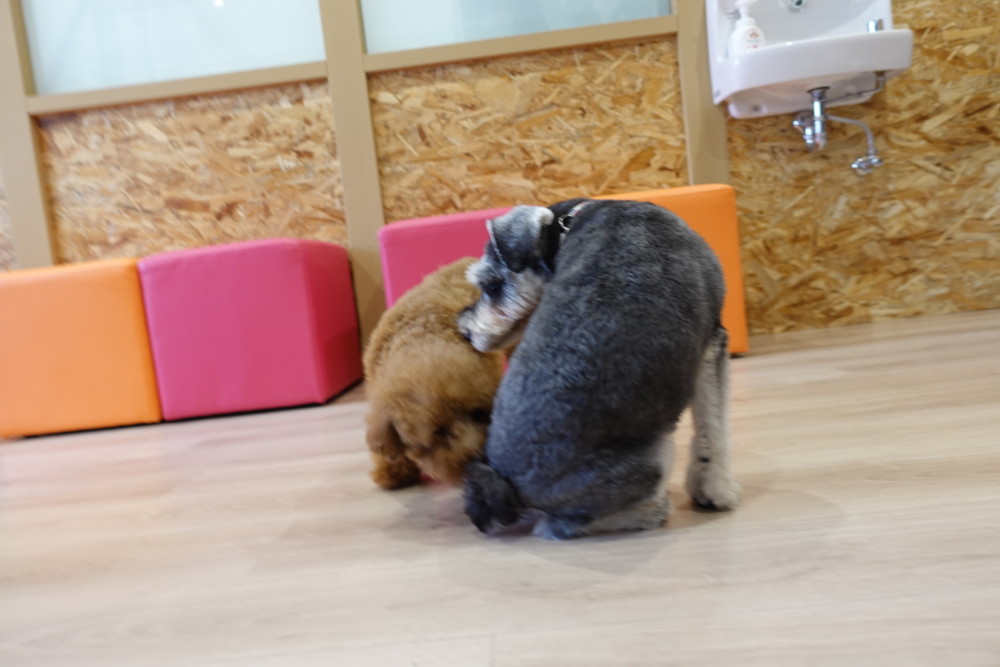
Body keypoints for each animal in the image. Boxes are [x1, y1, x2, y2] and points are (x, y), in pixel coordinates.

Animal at [458, 199, 741, 539]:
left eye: (490, 286)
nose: (465, 331)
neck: (568, 225)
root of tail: (509, 486)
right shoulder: (712, 343)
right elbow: (713, 431)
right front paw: (717, 491)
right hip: (655, 457)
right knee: (558, 526)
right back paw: (652, 511)